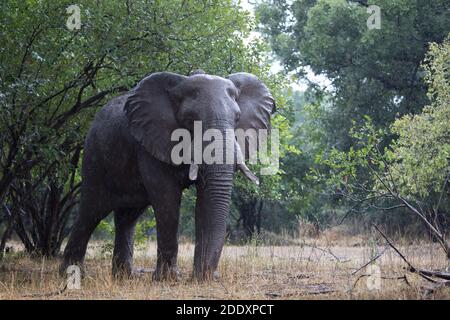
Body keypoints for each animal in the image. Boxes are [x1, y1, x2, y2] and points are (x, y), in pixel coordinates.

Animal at [59, 70, 278, 280]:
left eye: (237, 118)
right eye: (189, 120)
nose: (212, 276)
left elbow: (205, 200)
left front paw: (201, 278)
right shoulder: (151, 140)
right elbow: (167, 198)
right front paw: (168, 279)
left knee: (127, 216)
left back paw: (124, 277)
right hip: (94, 157)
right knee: (91, 211)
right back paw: (72, 275)